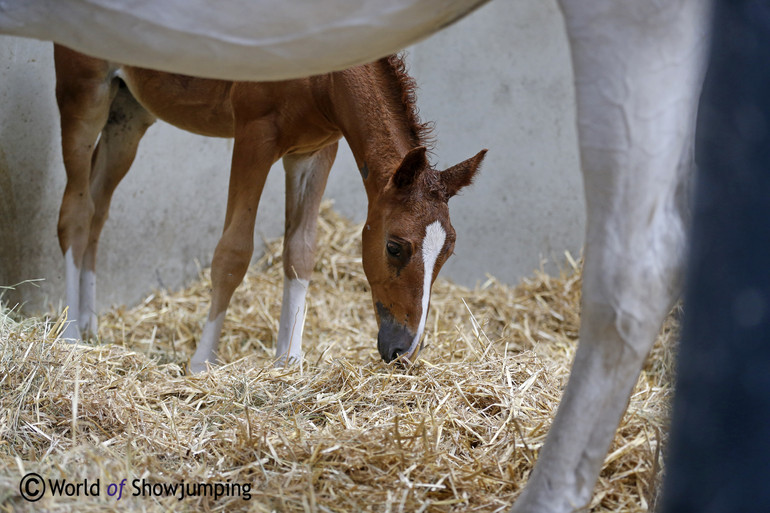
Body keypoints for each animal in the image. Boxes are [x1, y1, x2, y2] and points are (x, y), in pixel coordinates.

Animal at [54, 44, 484, 370]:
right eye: (395, 247)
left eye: (447, 253)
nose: (403, 351)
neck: (323, 78)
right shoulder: (253, 136)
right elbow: (233, 253)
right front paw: (201, 363)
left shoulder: (314, 151)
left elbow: (301, 252)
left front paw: (288, 361)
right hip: (84, 93)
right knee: (75, 213)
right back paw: (71, 334)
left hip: (128, 114)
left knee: (98, 207)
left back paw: (91, 325)